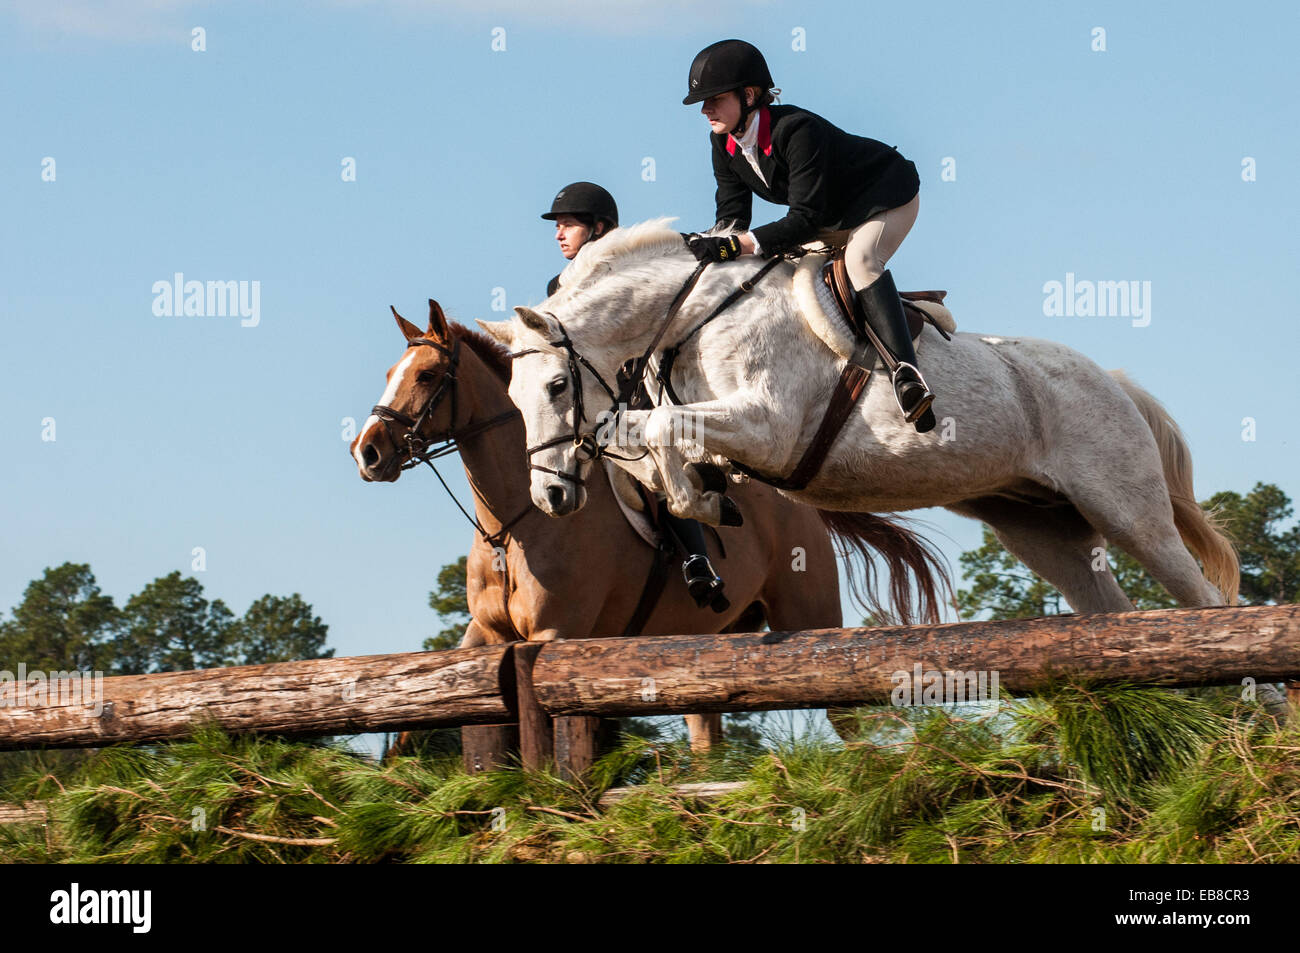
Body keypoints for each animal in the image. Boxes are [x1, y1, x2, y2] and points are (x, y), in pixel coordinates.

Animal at [353, 301, 842, 748]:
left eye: (426, 376)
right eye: (389, 374)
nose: (366, 453)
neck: (511, 530)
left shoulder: (556, 632)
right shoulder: (487, 635)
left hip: (808, 615)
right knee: (706, 728)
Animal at [478, 219, 1237, 613]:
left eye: (555, 385)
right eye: (512, 400)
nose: (551, 497)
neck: (693, 312)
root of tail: (1113, 382)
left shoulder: (769, 426)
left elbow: (655, 428)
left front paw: (700, 498)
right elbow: (643, 433)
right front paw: (701, 493)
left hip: (1127, 511)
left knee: (1204, 600)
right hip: (1043, 529)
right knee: (1110, 610)